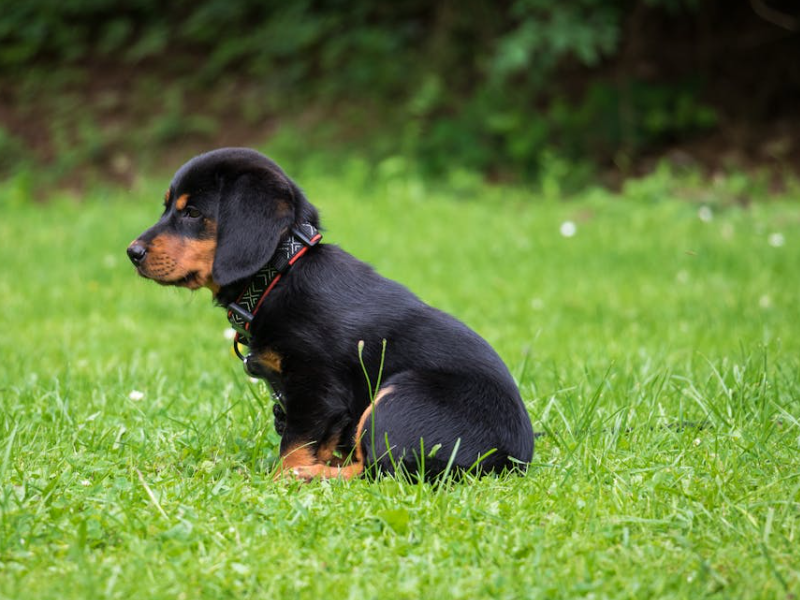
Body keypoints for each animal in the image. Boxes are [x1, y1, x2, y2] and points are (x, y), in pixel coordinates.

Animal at [128, 148, 536, 480]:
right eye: (167, 207)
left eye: (192, 212)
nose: (132, 252)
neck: (279, 272)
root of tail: (509, 460)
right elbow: (317, 440)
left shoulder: (316, 387)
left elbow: (294, 445)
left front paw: (283, 477)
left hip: (398, 397)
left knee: (379, 470)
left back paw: (308, 476)